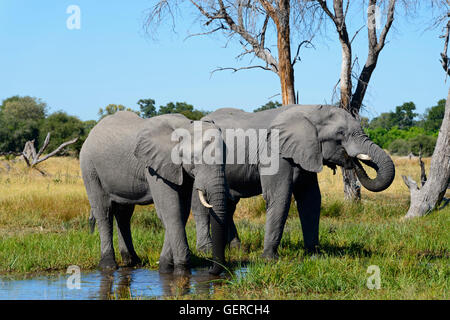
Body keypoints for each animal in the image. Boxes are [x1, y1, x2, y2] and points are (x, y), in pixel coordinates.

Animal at [79, 111, 229, 274]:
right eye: (195, 158)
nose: (210, 270)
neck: (184, 125)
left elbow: (181, 211)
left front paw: (164, 266)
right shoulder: (154, 167)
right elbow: (170, 211)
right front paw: (180, 269)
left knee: (124, 214)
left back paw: (132, 261)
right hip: (89, 168)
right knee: (104, 211)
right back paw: (108, 265)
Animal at [193, 104, 394, 260]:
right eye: (340, 133)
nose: (353, 160)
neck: (311, 111)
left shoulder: (307, 153)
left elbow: (311, 198)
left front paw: (315, 256)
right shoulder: (275, 153)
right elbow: (280, 196)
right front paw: (269, 259)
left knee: (229, 203)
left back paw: (237, 248)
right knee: (202, 205)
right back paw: (206, 251)